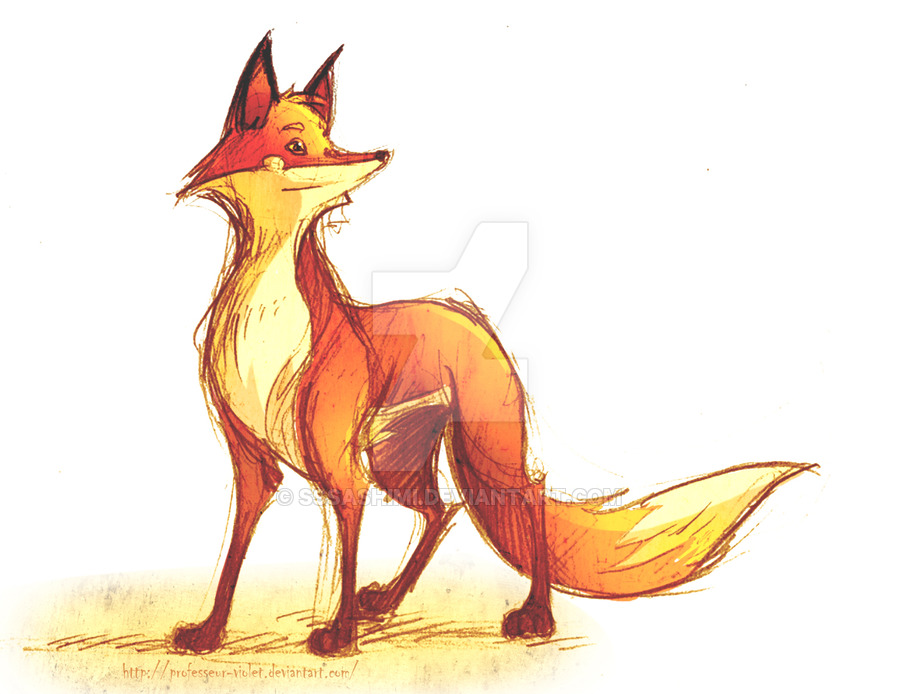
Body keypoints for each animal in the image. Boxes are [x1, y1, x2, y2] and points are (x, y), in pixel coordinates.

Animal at [170, 33, 817, 657]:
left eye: (332, 138)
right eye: (299, 145)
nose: (376, 156)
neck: (265, 331)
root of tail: (469, 316)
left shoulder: (342, 469)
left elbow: (343, 548)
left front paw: (339, 637)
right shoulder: (253, 465)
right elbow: (233, 554)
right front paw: (209, 635)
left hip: (480, 451)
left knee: (528, 494)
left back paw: (534, 618)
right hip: (398, 461)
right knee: (442, 510)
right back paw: (387, 602)